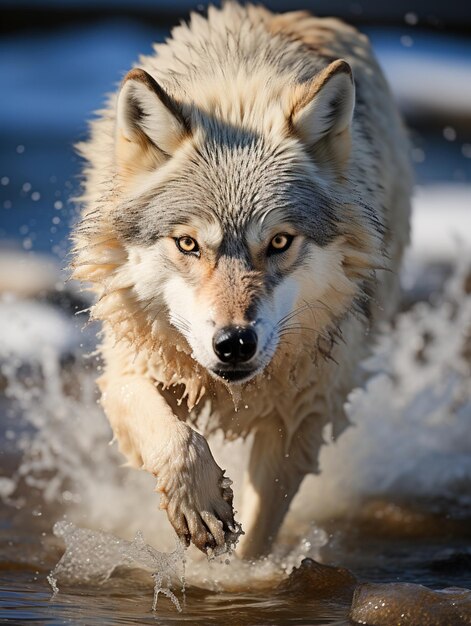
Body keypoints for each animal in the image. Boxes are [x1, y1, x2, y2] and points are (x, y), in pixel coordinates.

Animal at [71, 1, 412, 556]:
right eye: (189, 244)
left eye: (279, 242)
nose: (234, 343)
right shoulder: (130, 364)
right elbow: (177, 439)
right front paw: (198, 504)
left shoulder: (300, 415)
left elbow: (258, 529)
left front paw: (242, 574)